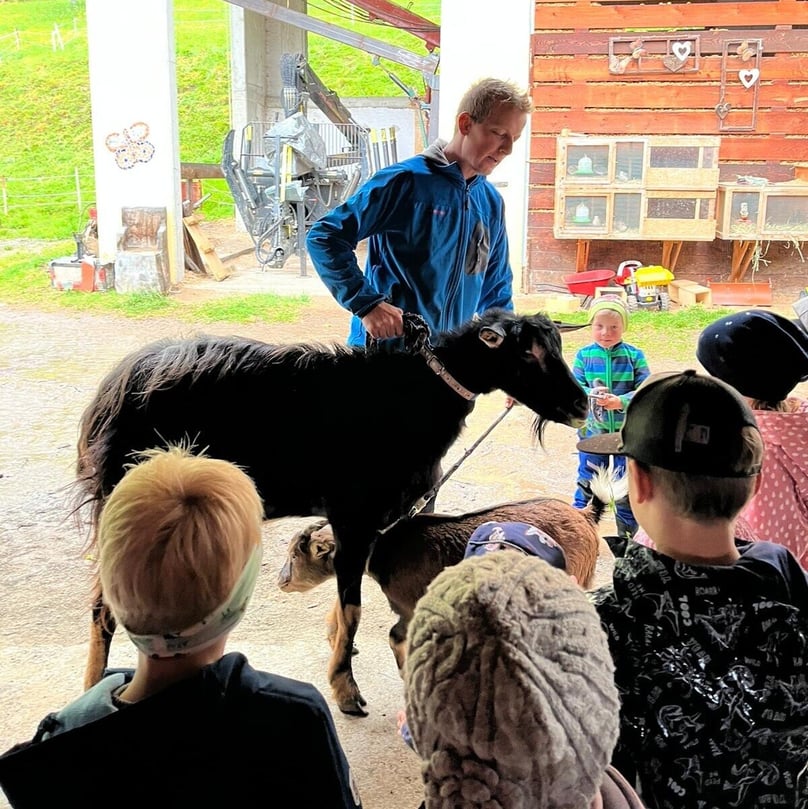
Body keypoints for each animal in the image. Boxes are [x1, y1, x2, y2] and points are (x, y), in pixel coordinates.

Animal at [76, 310, 588, 712]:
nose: (582, 404)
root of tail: (110, 393)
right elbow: (354, 607)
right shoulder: (355, 515)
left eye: (557, 345)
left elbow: (347, 600)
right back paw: (93, 686)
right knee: (103, 606)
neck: (419, 394)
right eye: (527, 353)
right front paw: (346, 689)